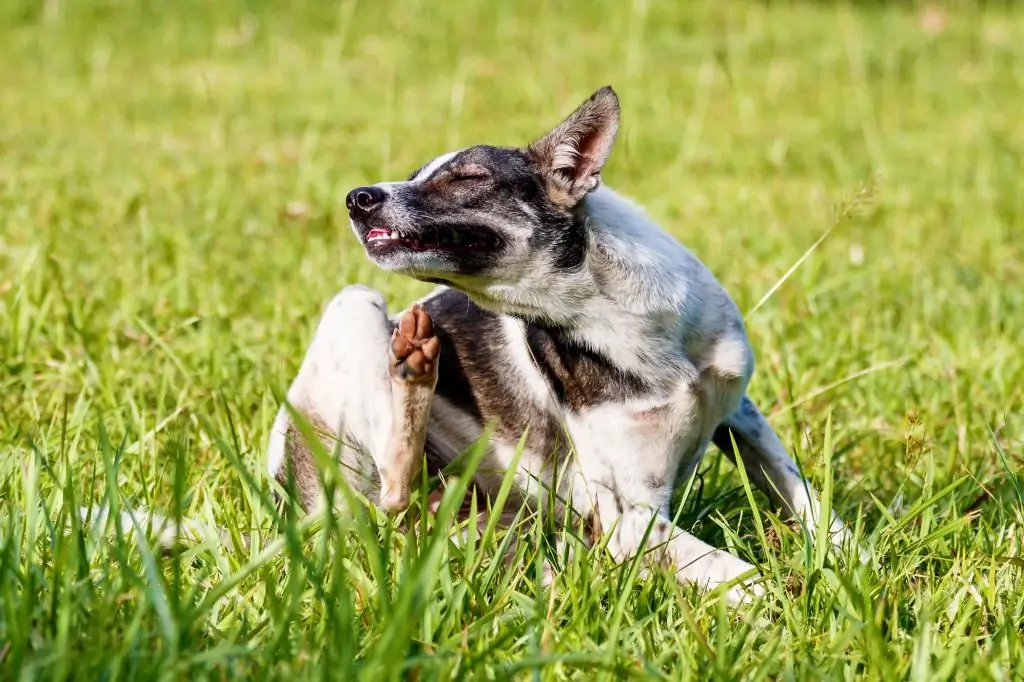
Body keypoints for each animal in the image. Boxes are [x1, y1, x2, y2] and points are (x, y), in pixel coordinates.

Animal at [262, 86, 847, 606]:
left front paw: (849, 565)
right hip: (354, 307)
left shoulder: (740, 413)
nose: (356, 197)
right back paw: (413, 364)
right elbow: (745, 576)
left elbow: (809, 502)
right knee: (391, 492)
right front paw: (801, 603)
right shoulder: (630, 519)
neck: (613, 313)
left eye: (467, 178)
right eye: (414, 177)